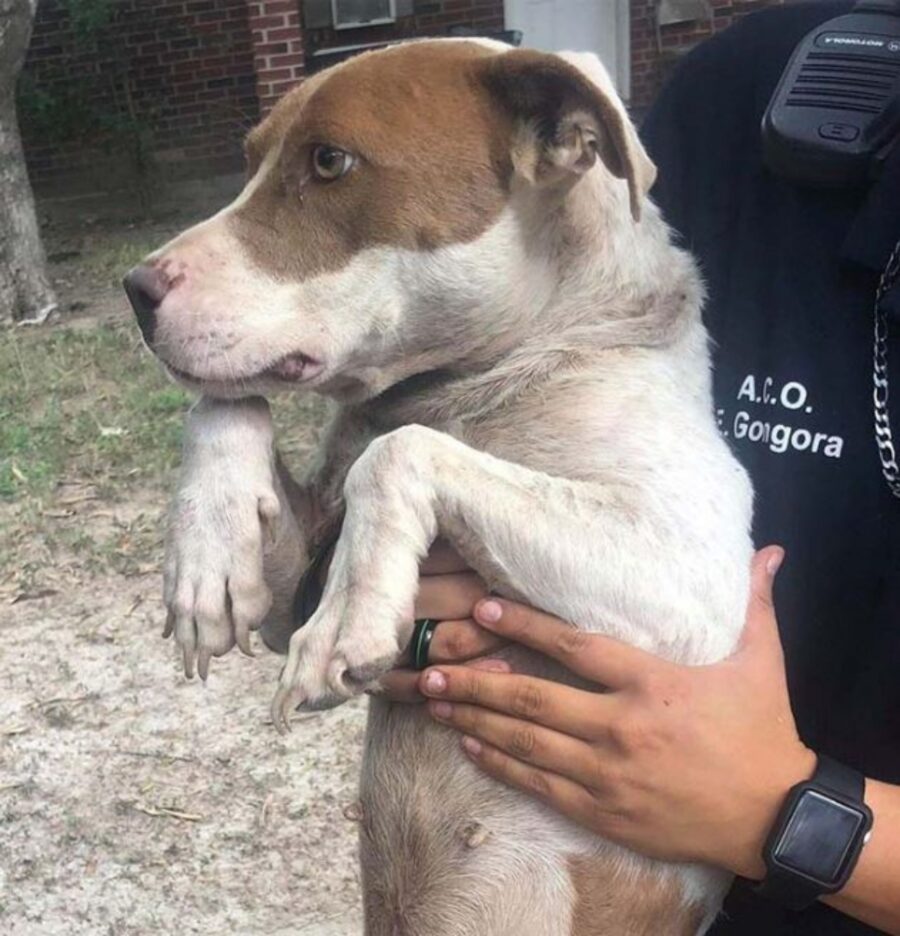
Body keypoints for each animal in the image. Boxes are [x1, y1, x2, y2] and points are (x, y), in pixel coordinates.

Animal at [125, 38, 752, 936]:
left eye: (330, 161)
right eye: (250, 159)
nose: (135, 291)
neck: (481, 385)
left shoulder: (691, 579)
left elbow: (398, 453)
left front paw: (347, 617)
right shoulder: (292, 574)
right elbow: (221, 403)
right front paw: (206, 560)